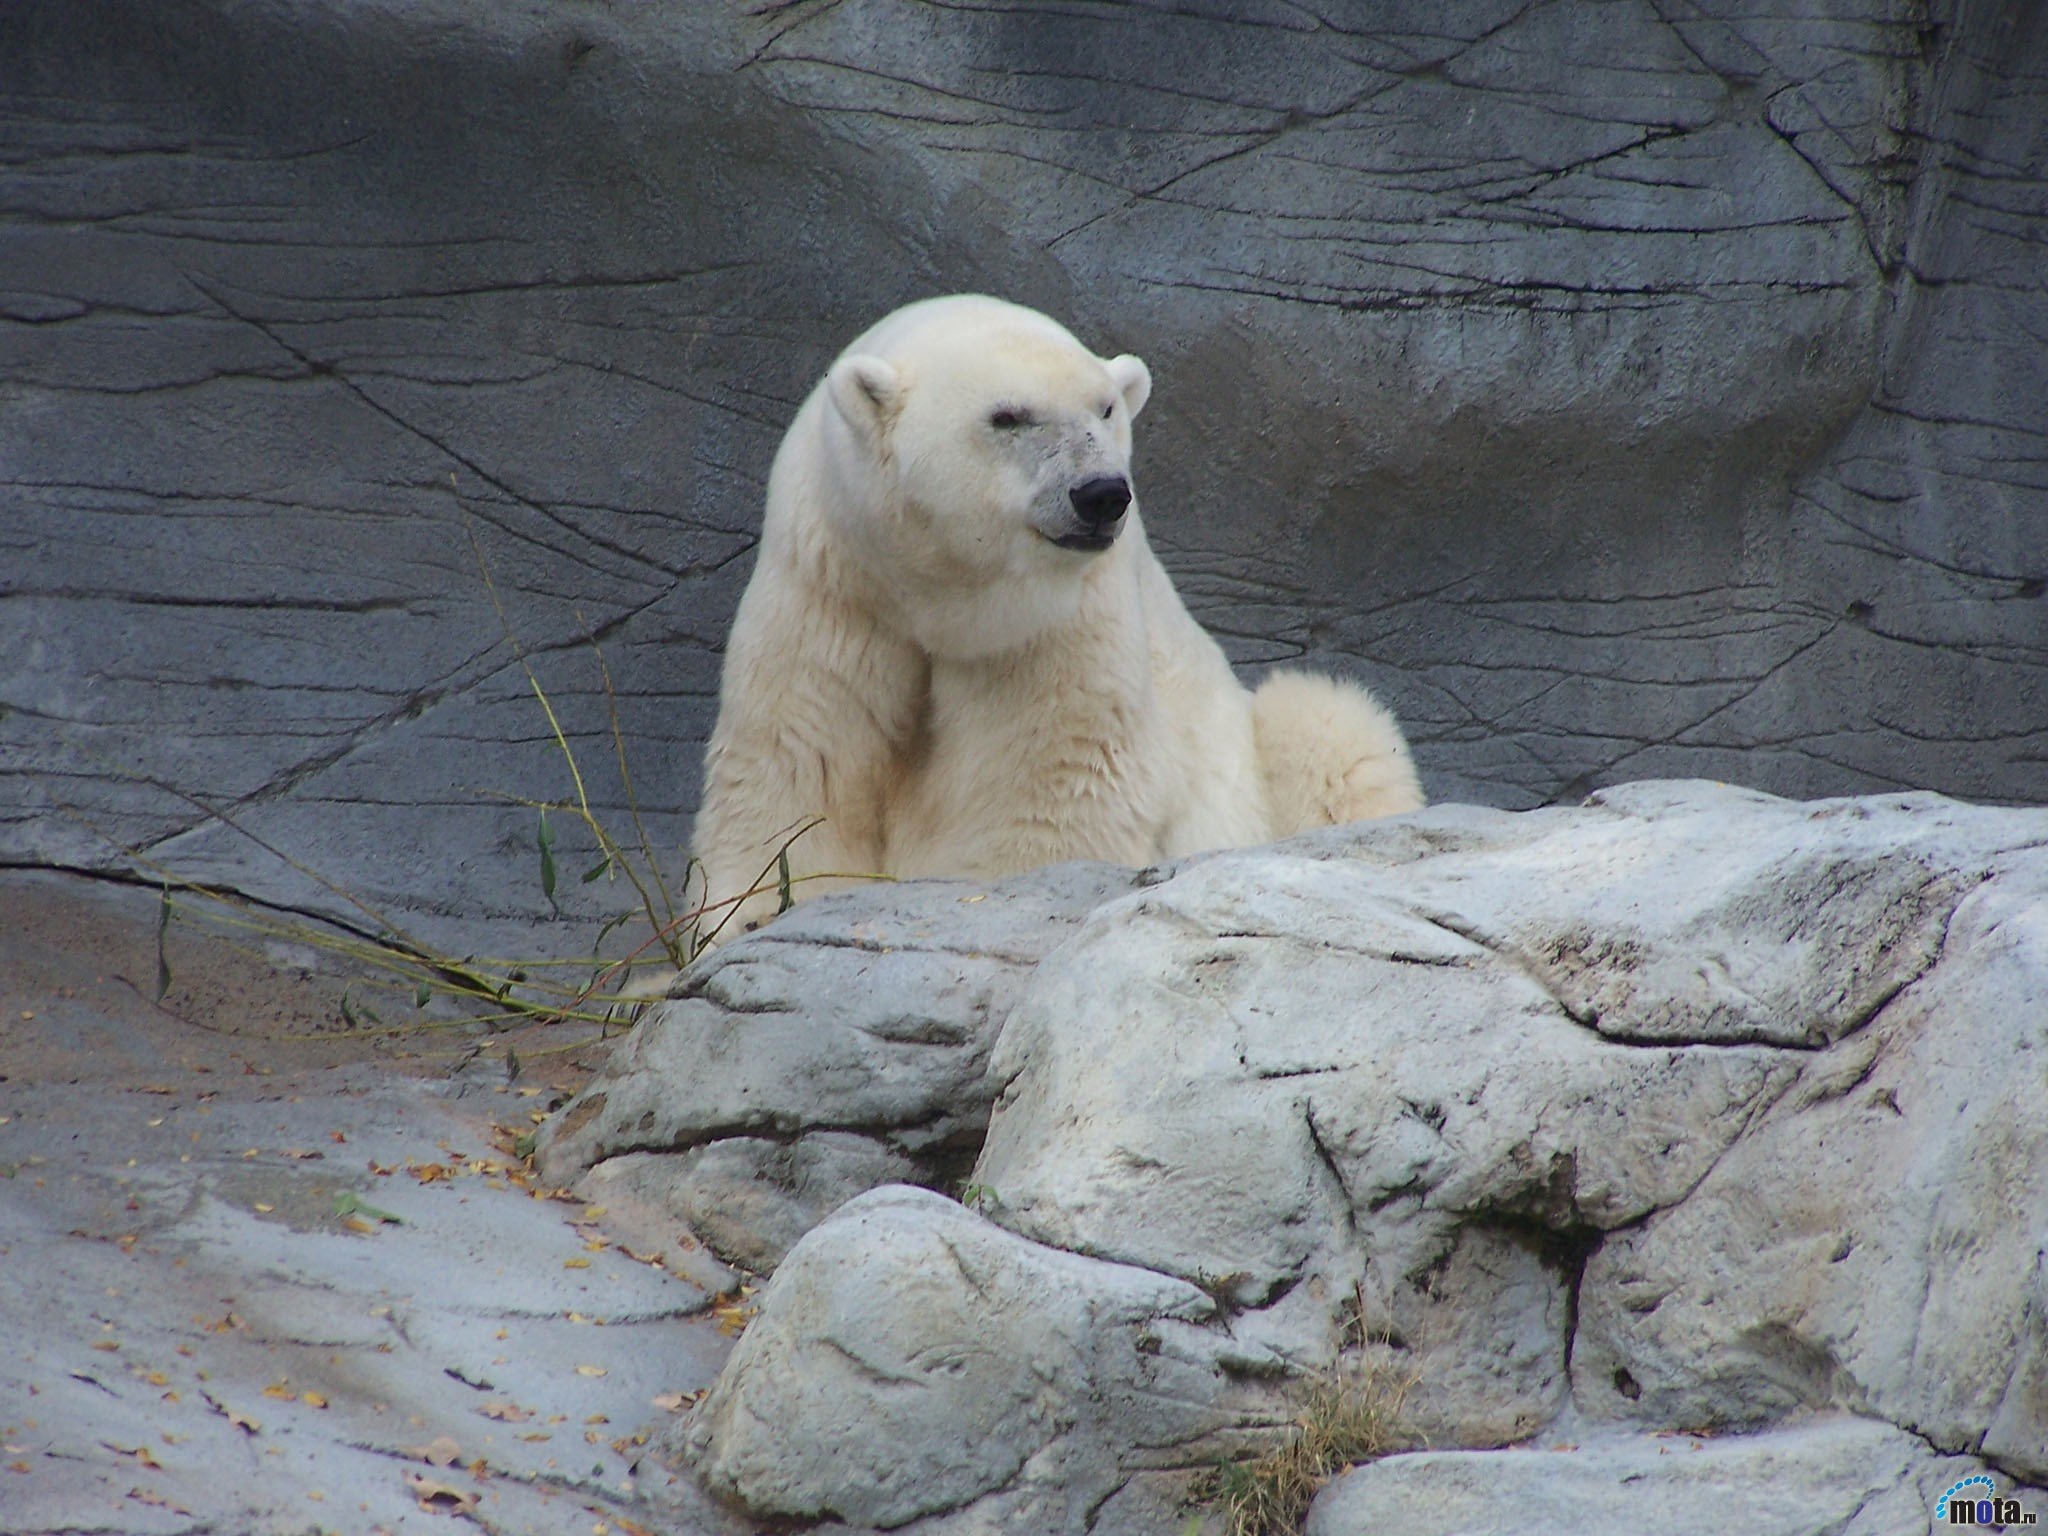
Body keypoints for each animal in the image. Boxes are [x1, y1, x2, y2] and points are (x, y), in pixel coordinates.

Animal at [689, 295, 1422, 943]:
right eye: (1007, 416)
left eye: (1105, 407)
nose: (1100, 494)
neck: (939, 595)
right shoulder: (833, 585)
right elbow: (797, 758)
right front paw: (756, 909)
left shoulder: (1059, 621)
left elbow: (1051, 776)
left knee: (1329, 726)